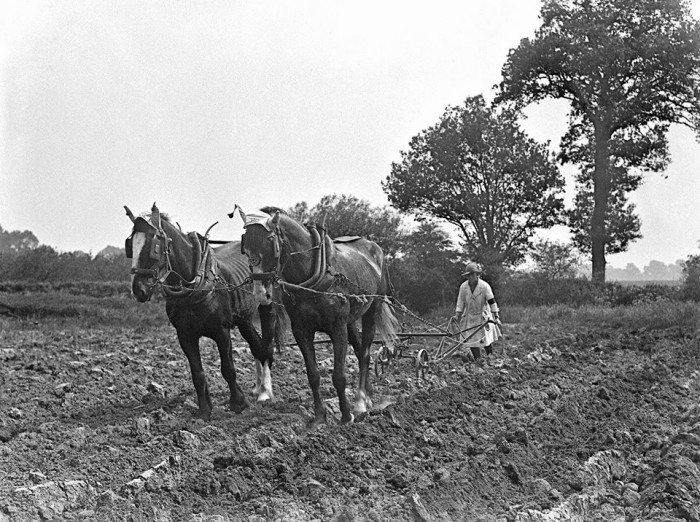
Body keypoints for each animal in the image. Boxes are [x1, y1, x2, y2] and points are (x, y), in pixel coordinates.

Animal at [123, 203, 284, 418]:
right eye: (130, 245)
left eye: (154, 244)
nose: (138, 289)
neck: (194, 284)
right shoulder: (185, 335)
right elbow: (197, 372)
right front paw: (204, 409)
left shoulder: (221, 331)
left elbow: (228, 368)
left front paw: (238, 403)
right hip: (243, 319)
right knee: (256, 345)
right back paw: (258, 388)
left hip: (266, 307)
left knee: (266, 348)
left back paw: (265, 392)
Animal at [237, 204, 396, 426]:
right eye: (244, 243)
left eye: (270, 240)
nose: (261, 293)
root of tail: (375, 249)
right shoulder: (301, 331)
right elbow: (313, 374)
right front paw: (320, 416)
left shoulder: (337, 328)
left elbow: (339, 375)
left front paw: (346, 416)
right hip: (351, 320)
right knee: (359, 352)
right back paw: (367, 397)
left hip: (373, 309)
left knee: (365, 353)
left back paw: (360, 403)